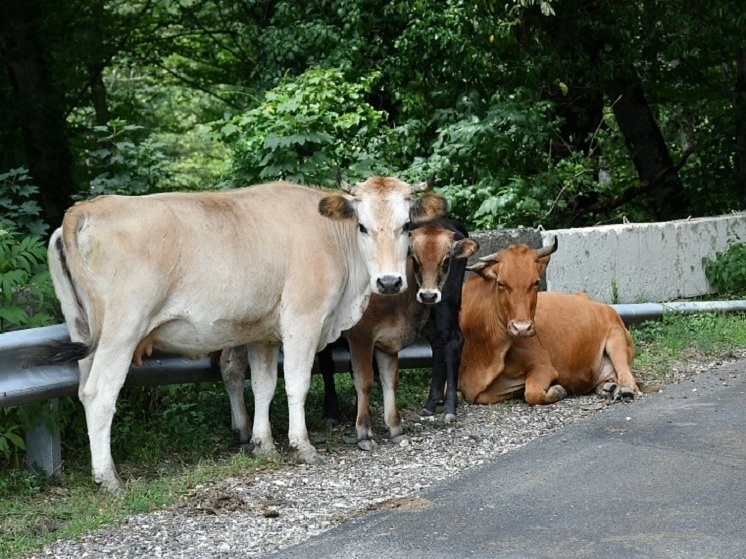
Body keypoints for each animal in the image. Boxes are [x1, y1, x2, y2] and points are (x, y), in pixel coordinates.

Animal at [456, 237, 636, 406]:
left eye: (536, 282)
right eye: (500, 283)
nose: (522, 328)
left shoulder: (543, 366)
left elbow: (532, 393)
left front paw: (557, 390)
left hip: (617, 338)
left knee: (628, 379)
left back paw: (623, 389)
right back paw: (608, 387)